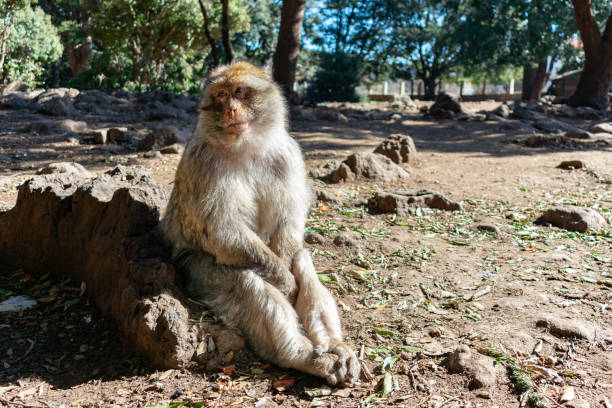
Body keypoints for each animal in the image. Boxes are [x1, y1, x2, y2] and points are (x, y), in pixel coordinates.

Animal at [163, 61, 360, 386]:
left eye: (240, 91)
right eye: (220, 95)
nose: (231, 109)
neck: (246, 146)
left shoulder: (288, 155)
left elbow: (288, 223)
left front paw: (292, 279)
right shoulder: (202, 161)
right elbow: (221, 232)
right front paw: (285, 282)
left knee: (301, 258)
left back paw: (332, 345)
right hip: (195, 270)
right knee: (245, 279)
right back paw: (302, 356)